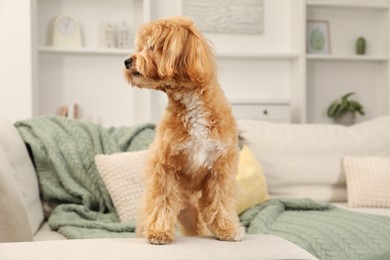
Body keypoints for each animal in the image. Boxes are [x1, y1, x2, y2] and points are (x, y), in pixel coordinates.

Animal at [124, 16, 244, 246]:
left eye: (151, 47)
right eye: (139, 47)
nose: (126, 61)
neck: (191, 103)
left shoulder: (221, 168)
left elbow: (220, 201)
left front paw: (227, 230)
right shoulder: (164, 167)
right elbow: (161, 200)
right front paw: (159, 232)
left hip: (194, 217)